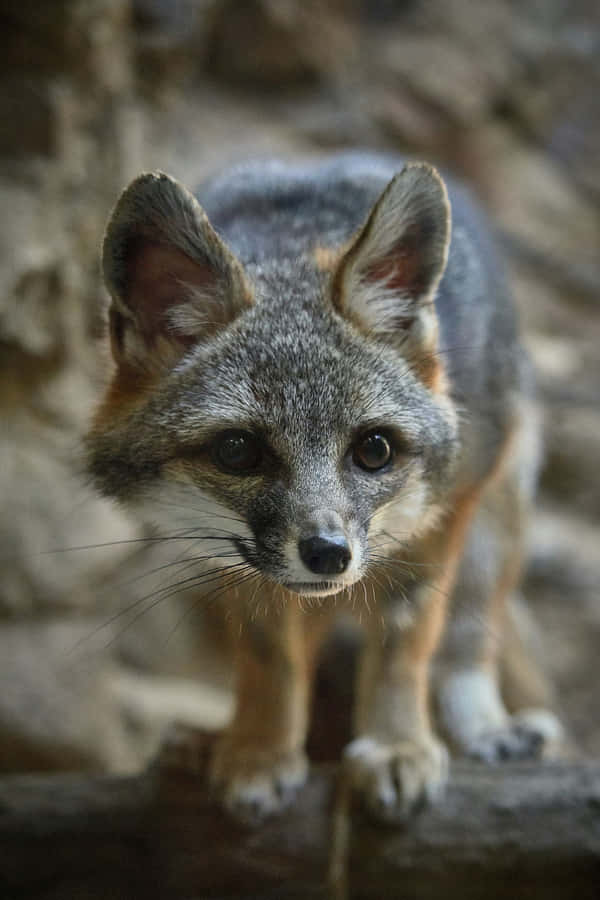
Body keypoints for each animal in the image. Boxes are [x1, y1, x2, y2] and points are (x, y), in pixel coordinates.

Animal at [87, 152, 563, 824]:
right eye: (238, 451)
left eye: (374, 450)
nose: (329, 554)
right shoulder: (243, 567)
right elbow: (272, 661)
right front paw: (259, 751)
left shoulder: (444, 515)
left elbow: (405, 644)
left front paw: (395, 745)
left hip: (496, 521)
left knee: (468, 640)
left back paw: (486, 729)